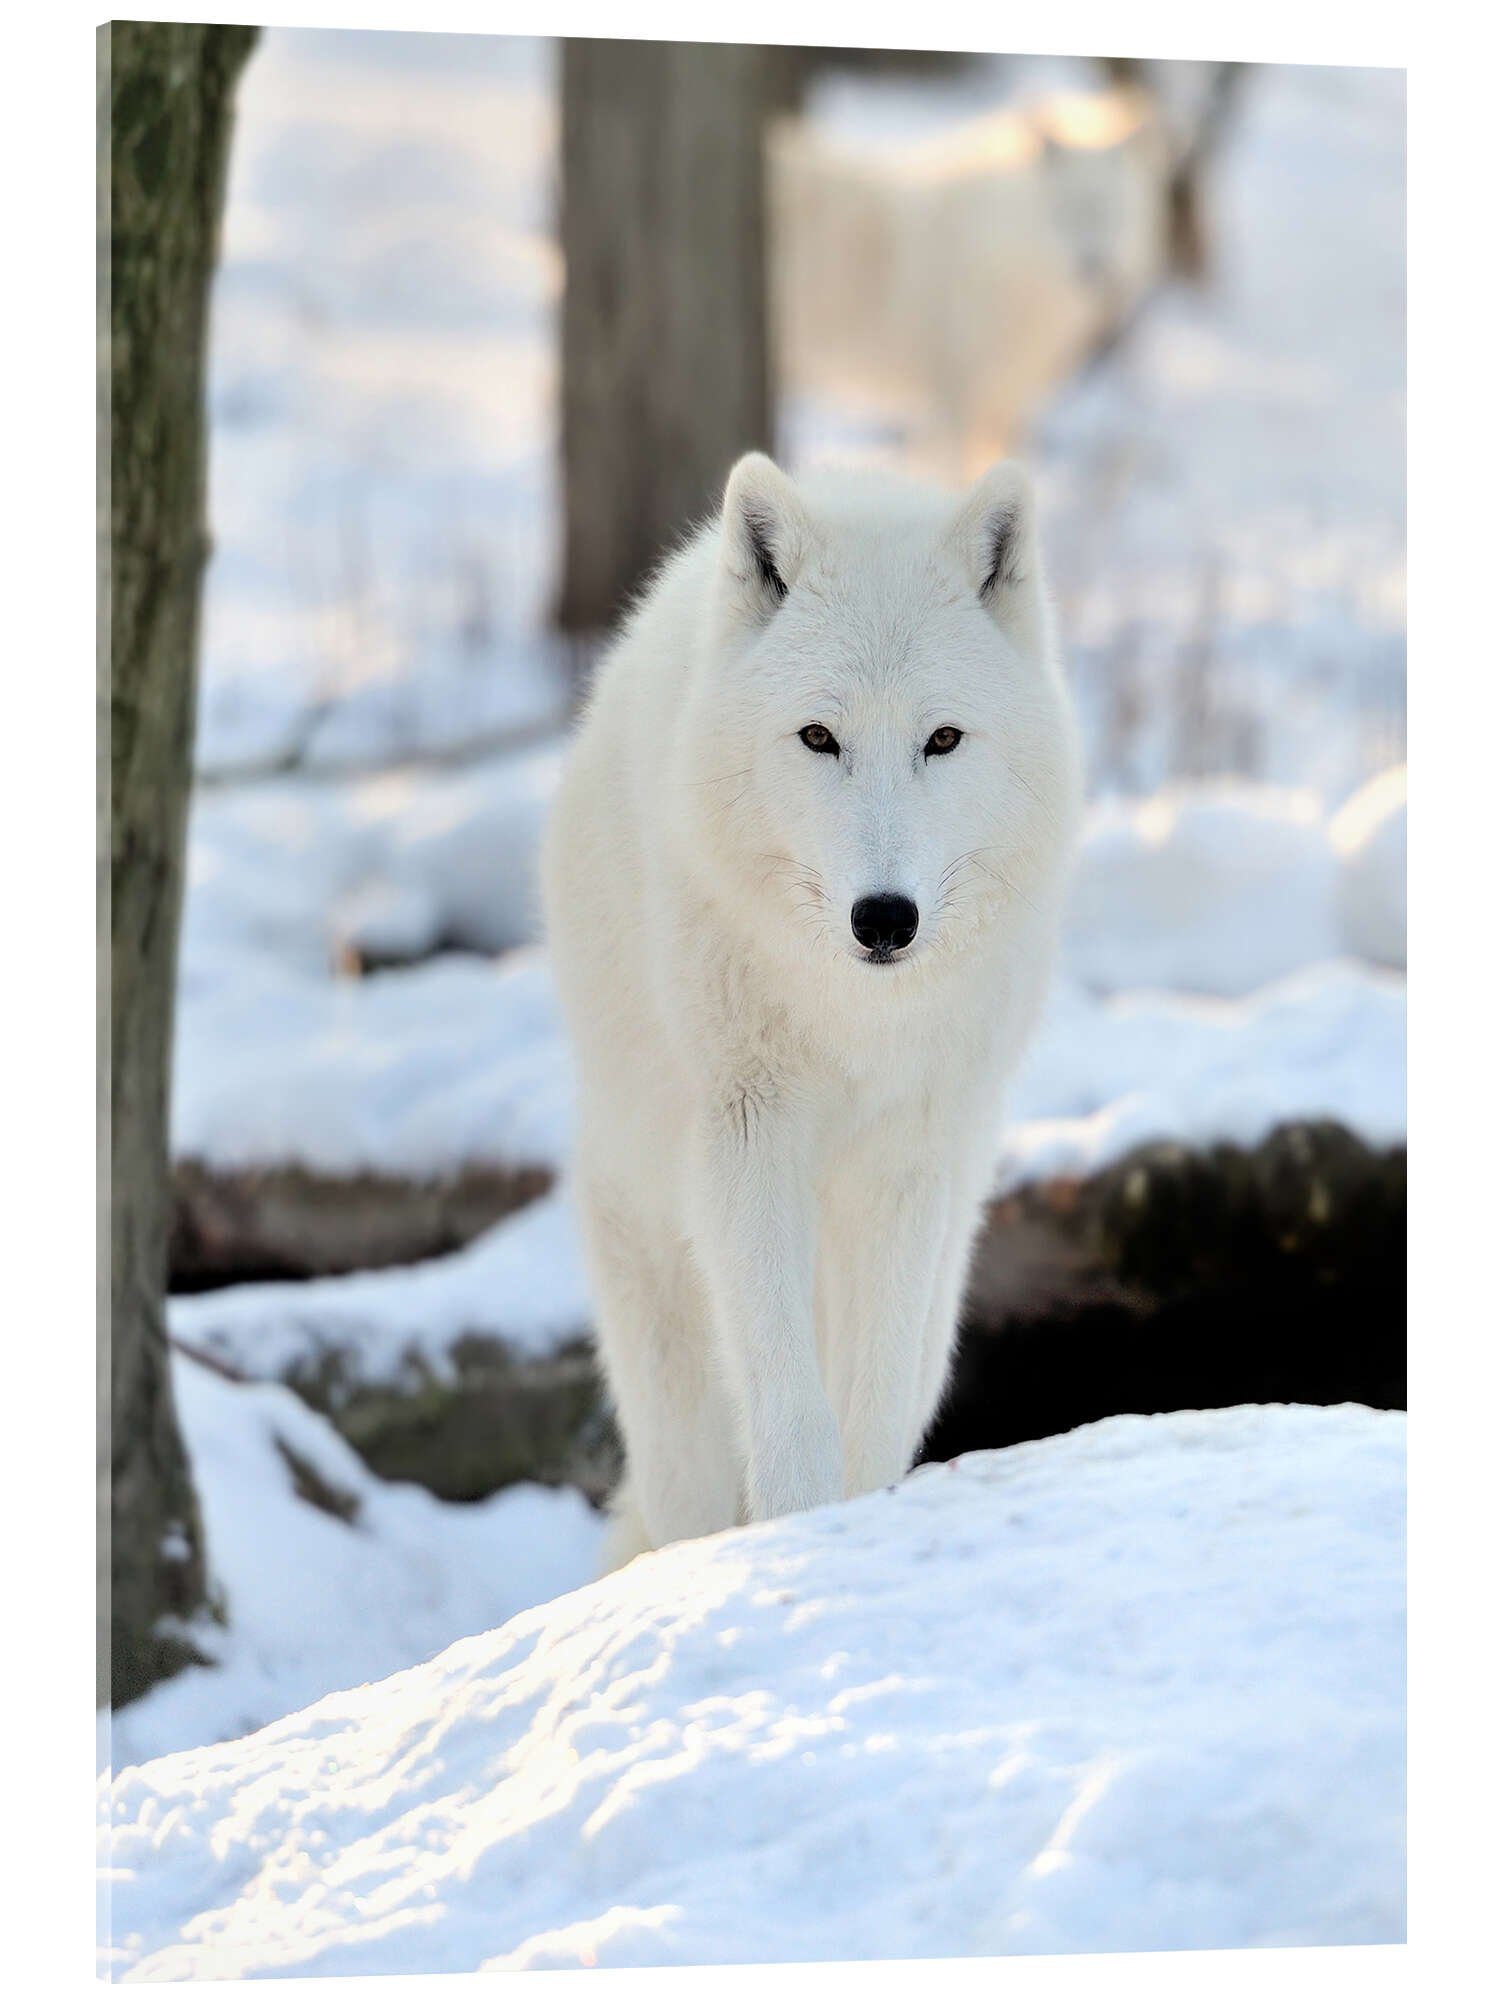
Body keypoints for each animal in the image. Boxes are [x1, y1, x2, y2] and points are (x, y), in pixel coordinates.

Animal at [542, 453, 1081, 1567]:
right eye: (820, 737)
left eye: (943, 739)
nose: (885, 918)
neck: (852, 1019)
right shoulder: (749, 1135)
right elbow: (790, 1408)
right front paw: (802, 1538)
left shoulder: (907, 1159)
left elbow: (867, 1402)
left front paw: (862, 1529)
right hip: (664, 1310)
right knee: (690, 1486)